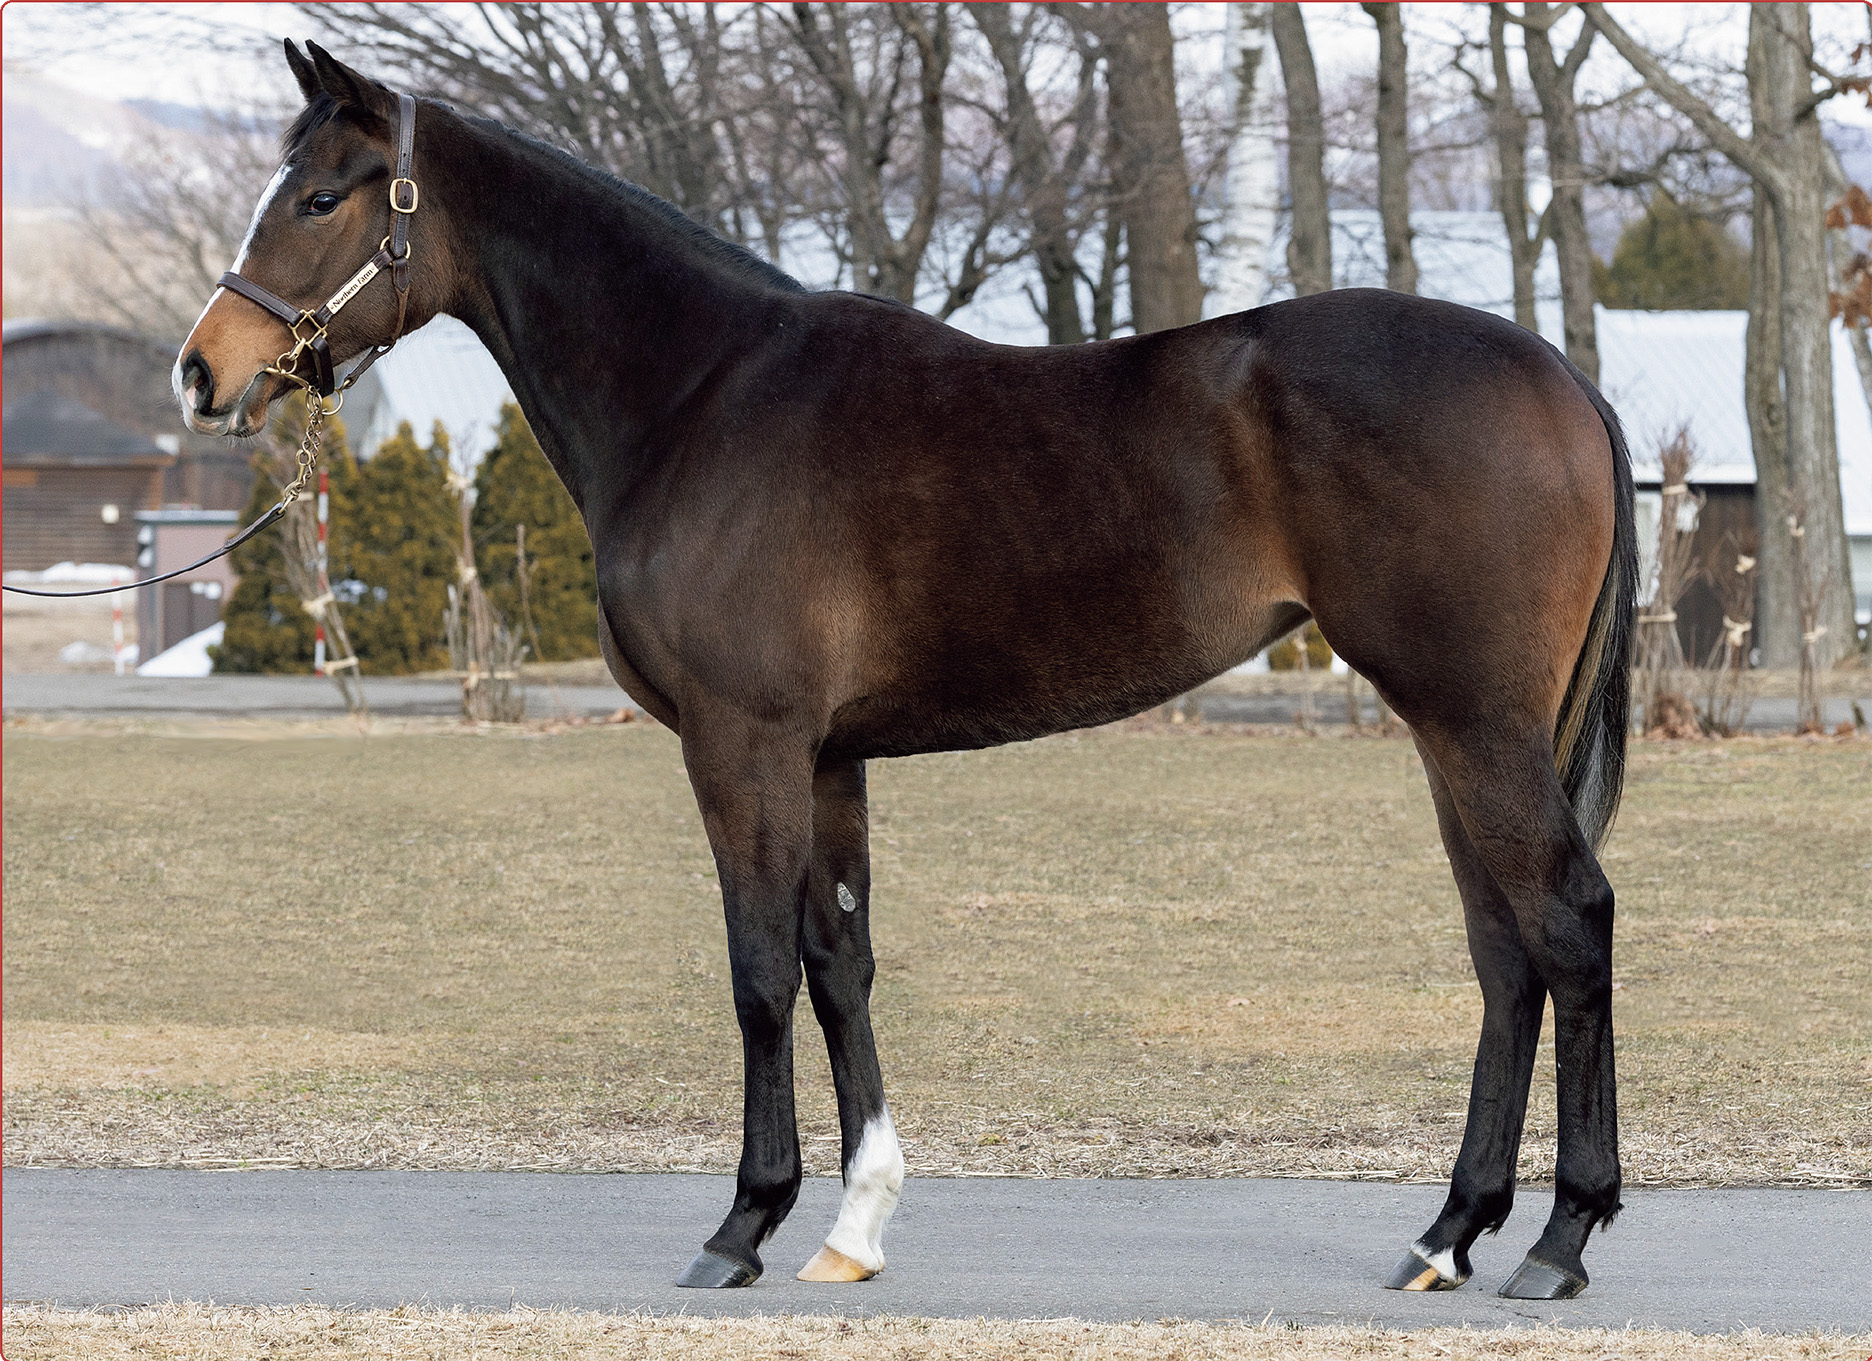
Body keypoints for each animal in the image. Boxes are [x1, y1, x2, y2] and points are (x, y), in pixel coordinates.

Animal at [176, 42, 1637, 1302]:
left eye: (319, 195)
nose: (204, 370)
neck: (705, 392)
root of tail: (1564, 378)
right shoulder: (828, 756)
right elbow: (840, 962)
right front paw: (854, 1224)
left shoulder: (744, 740)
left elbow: (759, 968)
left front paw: (743, 1222)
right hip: (1454, 731)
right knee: (1502, 950)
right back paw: (1448, 1231)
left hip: (1475, 723)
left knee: (1567, 921)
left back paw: (1561, 1236)